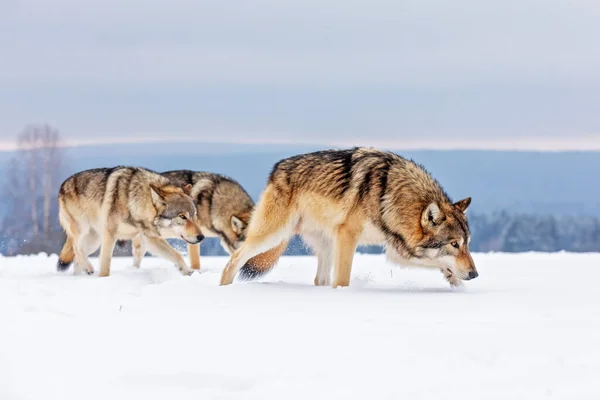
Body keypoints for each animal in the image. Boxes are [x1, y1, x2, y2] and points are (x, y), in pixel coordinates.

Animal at [57, 165, 205, 276]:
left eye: (194, 215)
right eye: (182, 217)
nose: (201, 237)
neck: (133, 201)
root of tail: (63, 184)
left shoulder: (150, 238)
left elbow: (177, 255)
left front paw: (188, 272)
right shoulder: (110, 235)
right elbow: (106, 264)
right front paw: (104, 279)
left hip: (94, 240)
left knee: (77, 256)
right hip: (84, 231)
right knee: (76, 248)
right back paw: (88, 268)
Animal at [220, 147, 478, 288]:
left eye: (467, 244)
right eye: (454, 244)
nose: (475, 274)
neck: (387, 191)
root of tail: (276, 169)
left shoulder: (395, 247)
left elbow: (436, 261)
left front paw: (454, 282)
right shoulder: (348, 236)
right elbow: (343, 279)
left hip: (325, 244)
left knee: (320, 279)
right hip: (273, 235)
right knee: (234, 259)